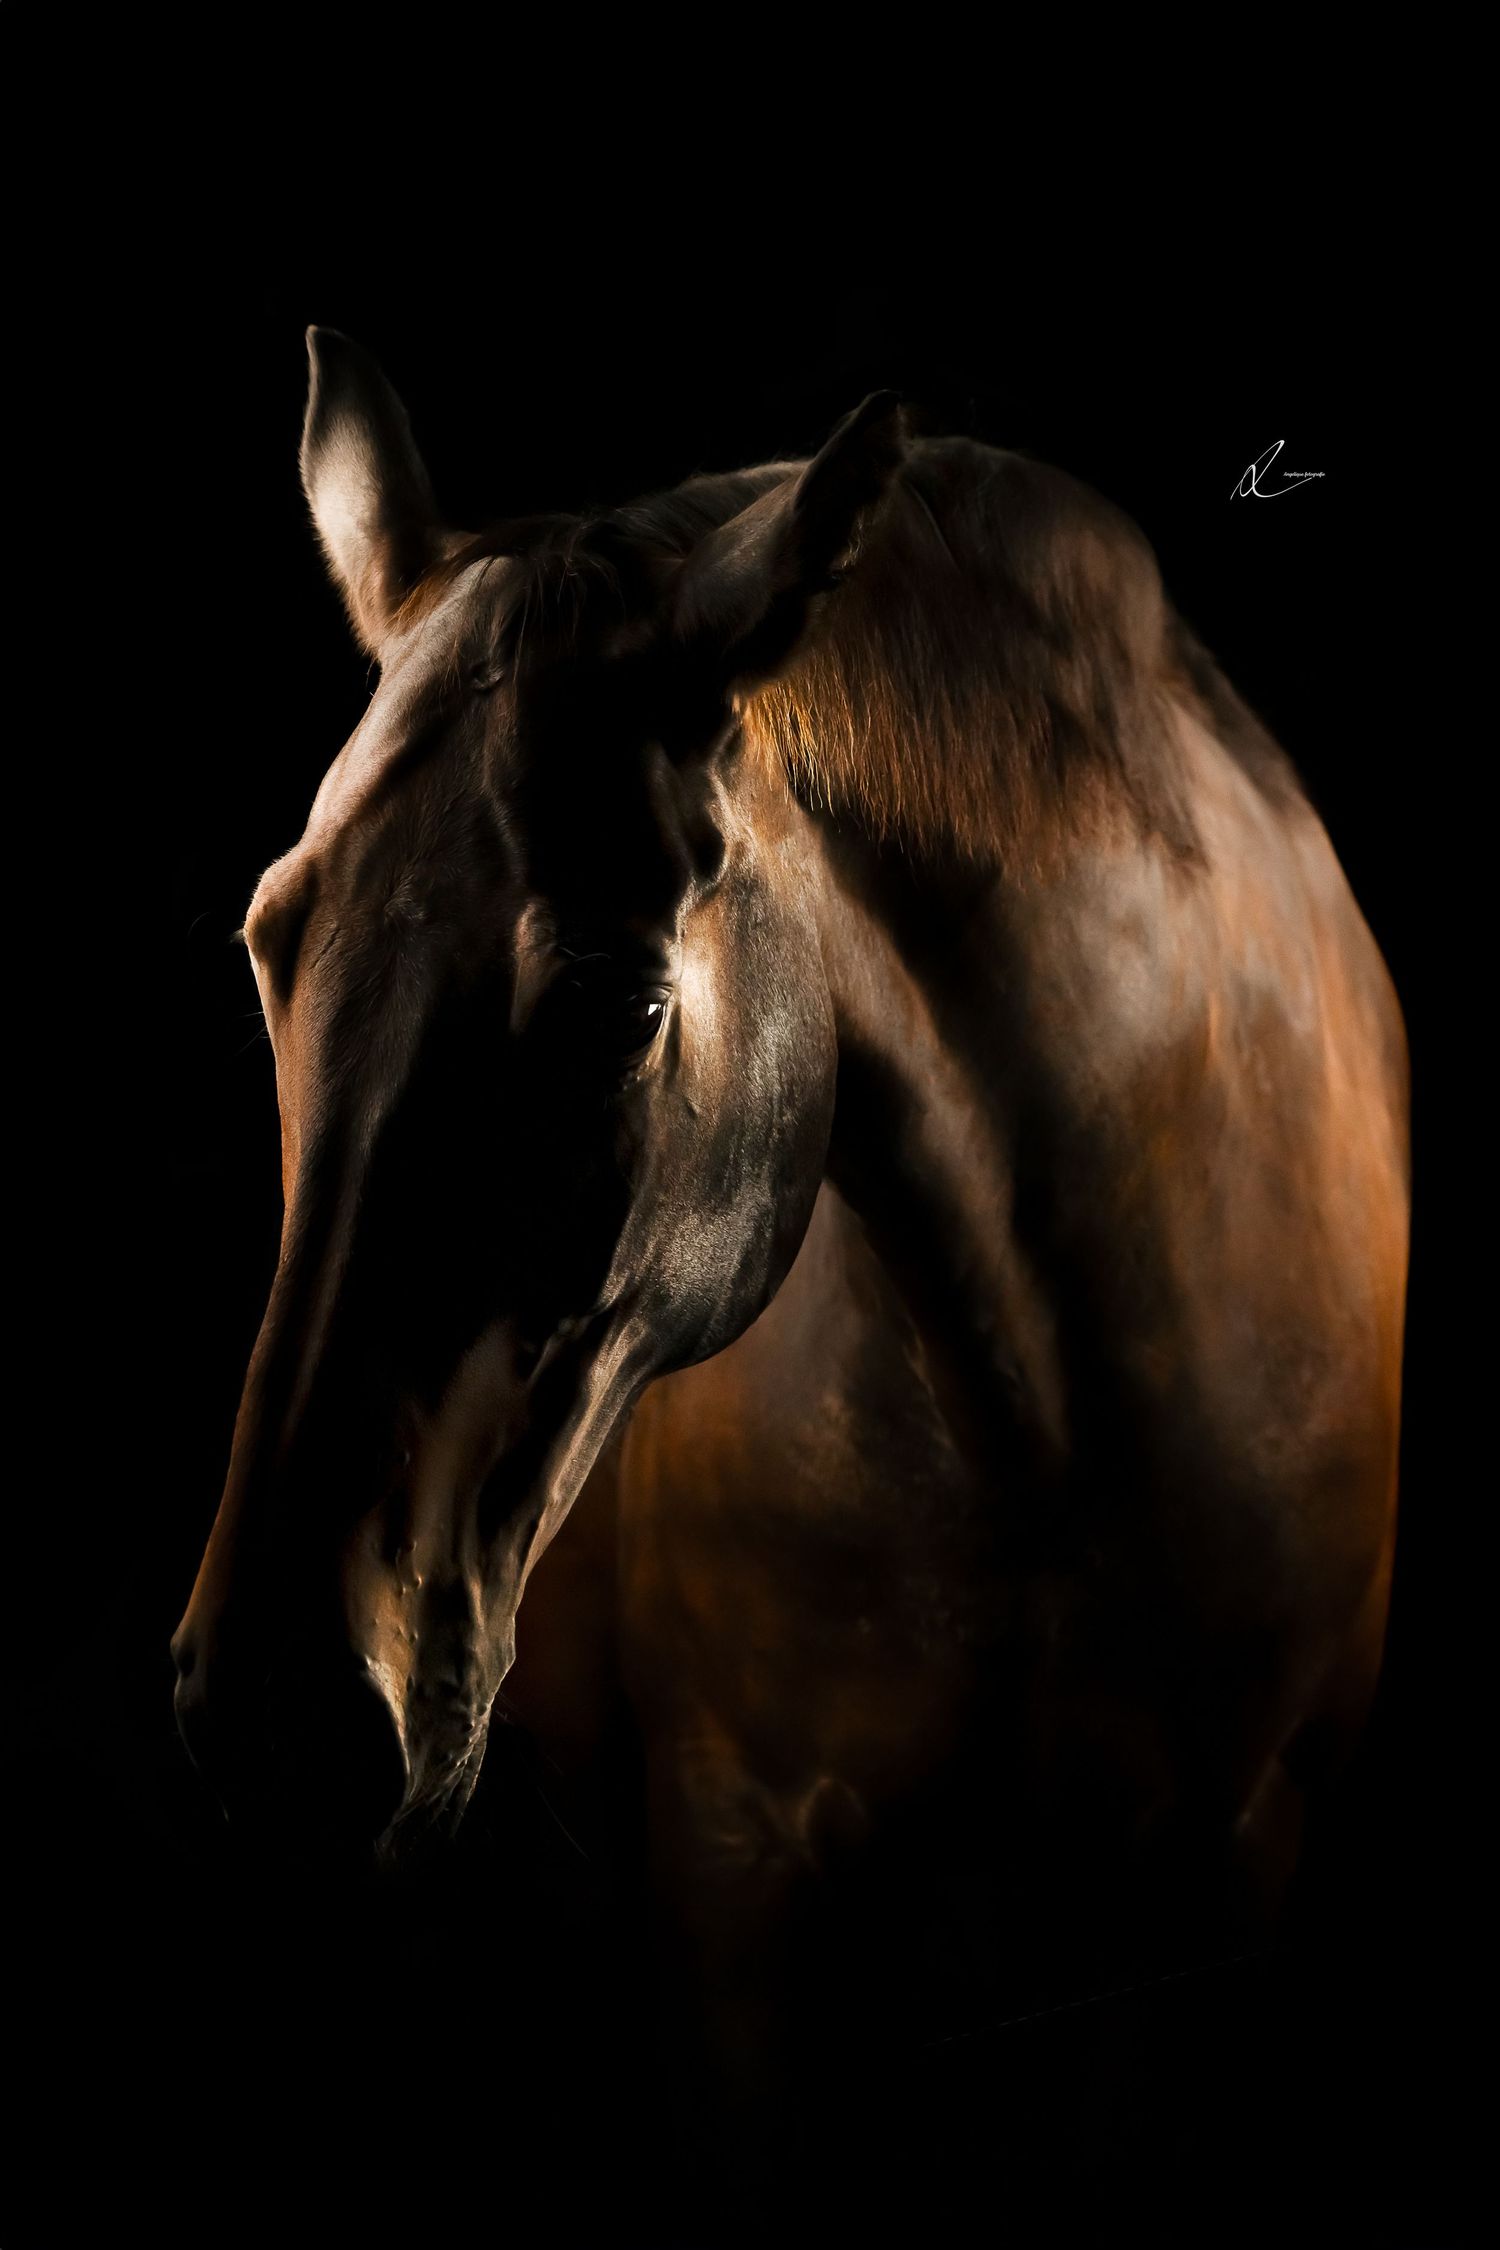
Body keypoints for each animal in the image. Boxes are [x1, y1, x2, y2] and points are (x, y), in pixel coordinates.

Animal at [171, 328, 1409, 2108]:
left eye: (620, 1005)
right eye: (273, 941)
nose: (277, 1724)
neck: (1055, 1428)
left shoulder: (1217, 1887)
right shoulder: (736, 1873)